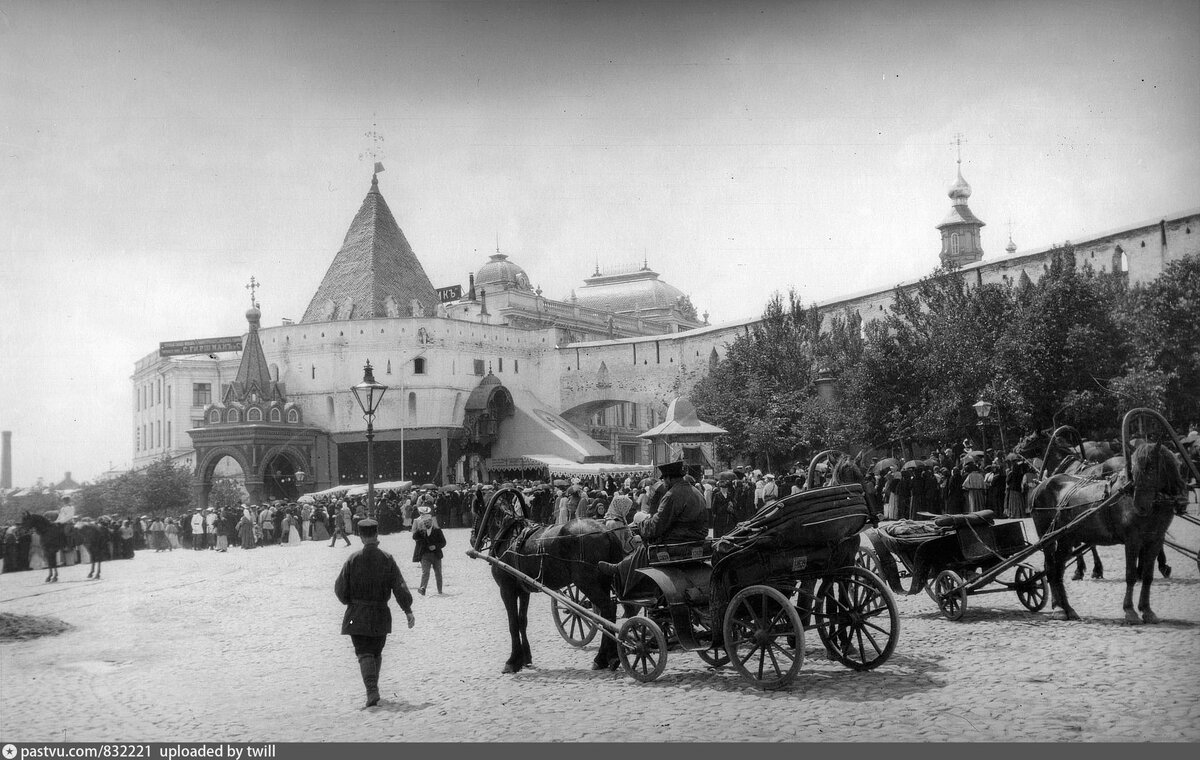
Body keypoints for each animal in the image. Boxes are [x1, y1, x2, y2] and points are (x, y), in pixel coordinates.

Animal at [468, 485, 624, 667]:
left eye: (476, 512)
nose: (472, 538)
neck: (509, 536)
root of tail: (607, 532)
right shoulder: (523, 590)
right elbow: (522, 621)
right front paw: (525, 657)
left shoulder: (507, 589)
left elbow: (513, 623)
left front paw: (513, 661)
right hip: (604, 582)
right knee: (608, 614)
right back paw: (608, 656)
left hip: (587, 583)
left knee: (607, 609)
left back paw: (605, 657)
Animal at [1032, 420, 1190, 624]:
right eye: (1135, 470)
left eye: (1151, 468)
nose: (1140, 504)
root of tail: (1041, 486)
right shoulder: (1132, 540)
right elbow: (1130, 575)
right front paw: (1130, 611)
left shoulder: (1155, 540)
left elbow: (1148, 576)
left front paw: (1147, 610)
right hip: (1048, 538)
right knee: (1051, 568)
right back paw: (1059, 608)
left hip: (1065, 537)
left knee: (1057, 568)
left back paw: (1067, 608)